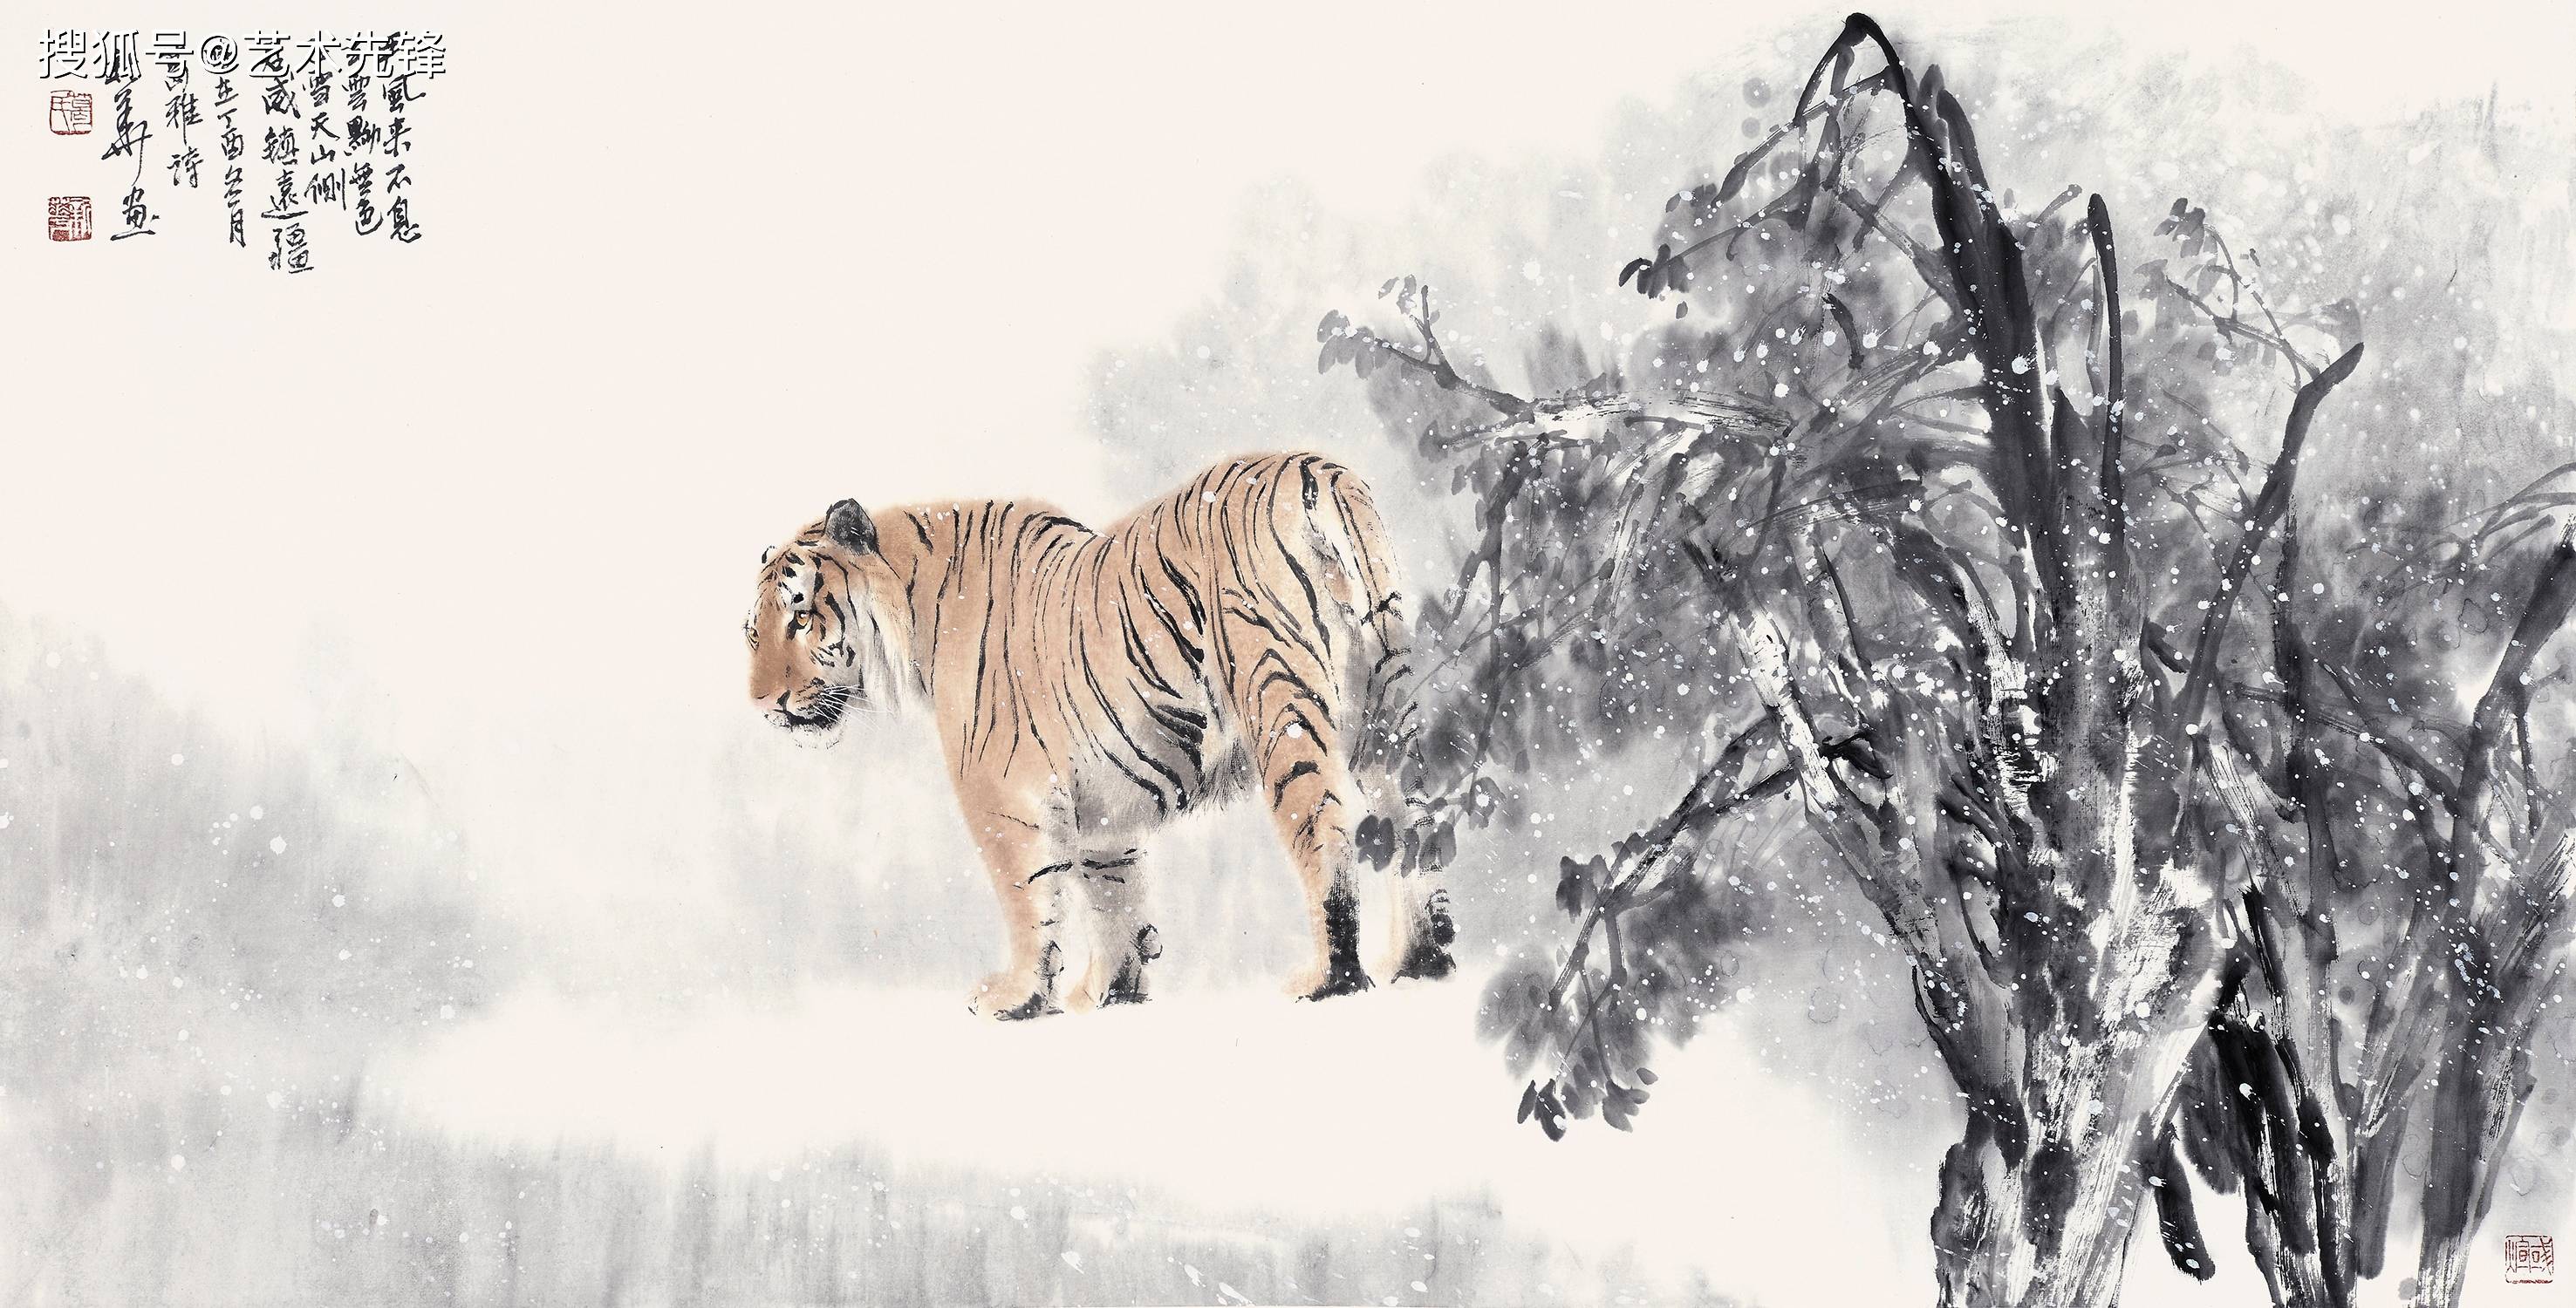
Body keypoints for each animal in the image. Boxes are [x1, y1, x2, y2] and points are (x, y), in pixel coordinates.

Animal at [744, 451, 1457, 1019]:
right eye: (754, 633)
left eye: (801, 616)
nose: (763, 706)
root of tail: (1313, 467)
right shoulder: (1104, 810)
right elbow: (1115, 900)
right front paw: (1111, 993)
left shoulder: (1004, 799)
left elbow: (1029, 900)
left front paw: (1014, 999)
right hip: (1385, 702)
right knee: (1410, 824)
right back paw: (1420, 961)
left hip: (1279, 702)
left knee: (1325, 835)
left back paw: (1329, 979)